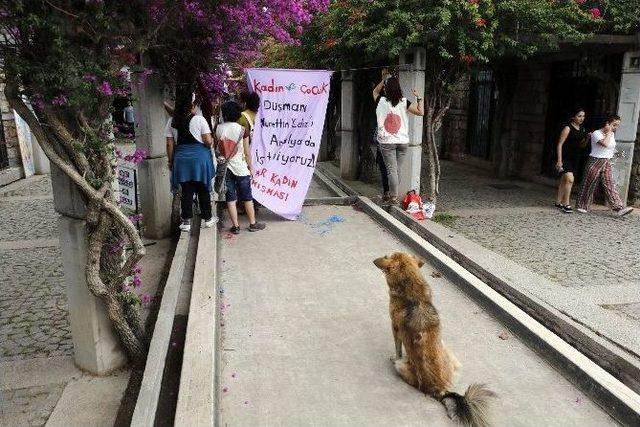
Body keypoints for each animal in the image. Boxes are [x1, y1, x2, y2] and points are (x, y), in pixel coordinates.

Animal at [376, 252, 496, 427]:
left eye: (387, 255)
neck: (411, 288)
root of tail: (439, 390)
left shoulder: (395, 328)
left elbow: (398, 349)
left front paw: (394, 356)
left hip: (402, 367)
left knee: (400, 363)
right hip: (449, 352)